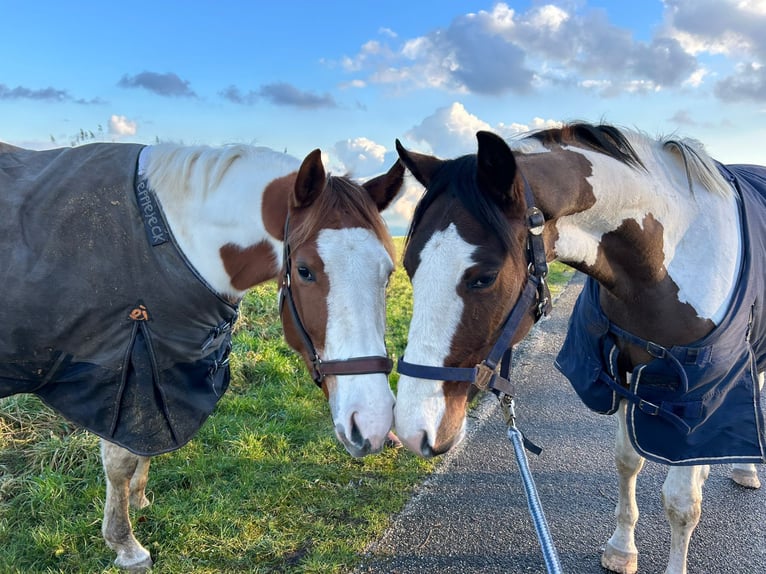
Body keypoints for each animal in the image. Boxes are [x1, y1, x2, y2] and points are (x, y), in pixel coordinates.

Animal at [0, 140, 403, 570]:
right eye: (305, 270)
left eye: (388, 272)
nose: (374, 423)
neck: (169, 241)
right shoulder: (120, 371)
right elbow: (120, 460)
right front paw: (126, 544)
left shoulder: (156, 369)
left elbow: (145, 443)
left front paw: (139, 499)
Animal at [392, 124, 765, 574]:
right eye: (409, 266)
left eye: (484, 277)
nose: (413, 430)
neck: (670, 259)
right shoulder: (623, 373)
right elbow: (627, 462)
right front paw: (621, 548)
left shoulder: (698, 394)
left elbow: (681, 504)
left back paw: (745, 468)